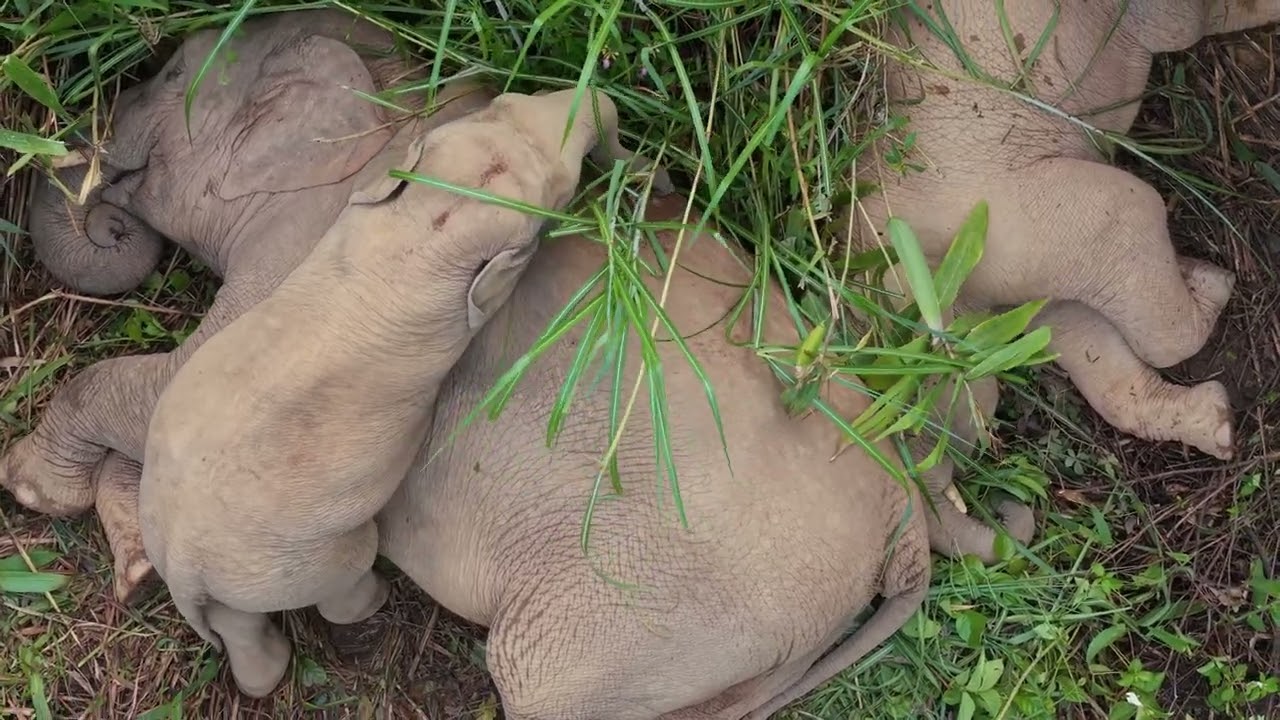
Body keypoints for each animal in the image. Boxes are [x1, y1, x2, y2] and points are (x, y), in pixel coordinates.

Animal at [1, 9, 490, 601]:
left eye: (174, 72)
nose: (110, 224)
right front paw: (140, 566)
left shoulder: (298, 251)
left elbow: (180, 392)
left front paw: (27, 486)